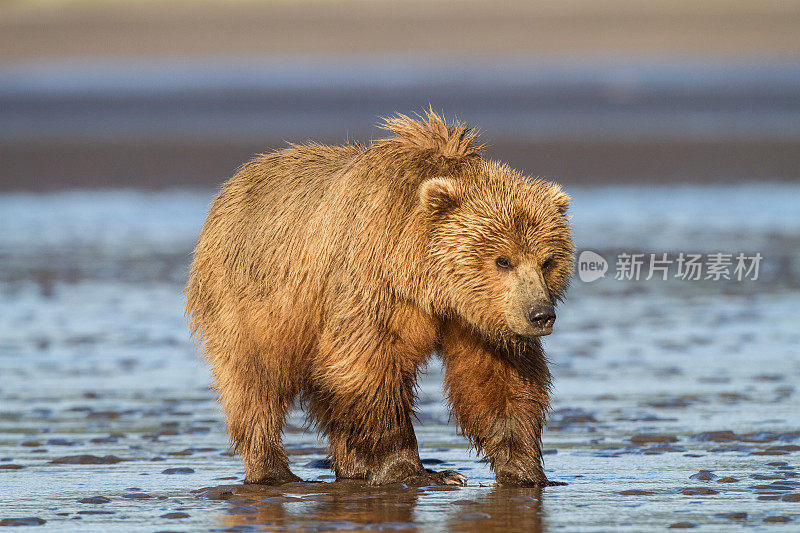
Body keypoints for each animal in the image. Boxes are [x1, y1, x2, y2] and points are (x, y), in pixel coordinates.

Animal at [186, 109, 576, 486]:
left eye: (547, 261)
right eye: (502, 260)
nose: (541, 314)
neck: (430, 286)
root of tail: (231, 185)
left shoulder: (482, 320)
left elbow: (498, 380)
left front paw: (526, 471)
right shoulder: (374, 280)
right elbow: (369, 365)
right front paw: (418, 471)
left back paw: (352, 468)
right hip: (251, 302)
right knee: (254, 382)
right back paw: (274, 470)